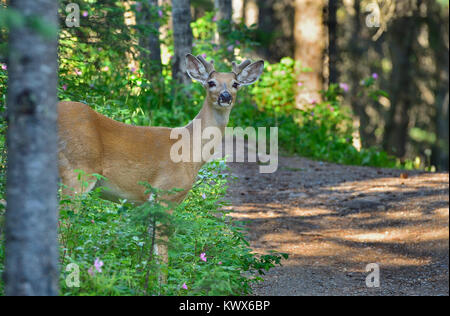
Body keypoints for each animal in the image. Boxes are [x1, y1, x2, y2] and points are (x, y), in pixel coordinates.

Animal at [58, 53, 266, 274]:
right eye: (211, 83)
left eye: (235, 84)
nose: (225, 97)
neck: (189, 149)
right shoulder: (165, 193)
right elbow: (162, 255)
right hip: (78, 171)